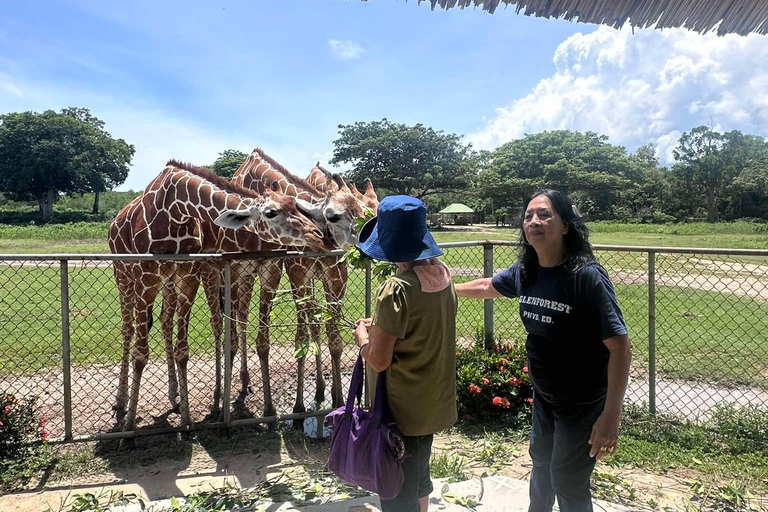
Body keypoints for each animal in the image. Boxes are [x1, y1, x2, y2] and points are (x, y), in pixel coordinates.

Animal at [106, 161, 328, 436]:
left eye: (296, 205)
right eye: (270, 213)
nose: (318, 235)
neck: (175, 211)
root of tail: (113, 224)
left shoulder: (191, 273)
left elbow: (188, 349)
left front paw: (190, 420)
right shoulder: (150, 276)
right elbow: (141, 354)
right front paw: (128, 431)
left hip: (168, 282)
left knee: (165, 321)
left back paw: (174, 396)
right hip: (124, 274)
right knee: (128, 329)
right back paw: (121, 402)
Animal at [222, 151, 366, 416]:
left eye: (361, 209)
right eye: (333, 216)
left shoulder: (336, 276)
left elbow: (334, 339)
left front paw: (338, 400)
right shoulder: (297, 275)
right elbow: (301, 339)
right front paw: (298, 407)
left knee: (315, 322)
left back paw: (322, 388)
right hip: (244, 274)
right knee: (242, 315)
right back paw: (245, 384)